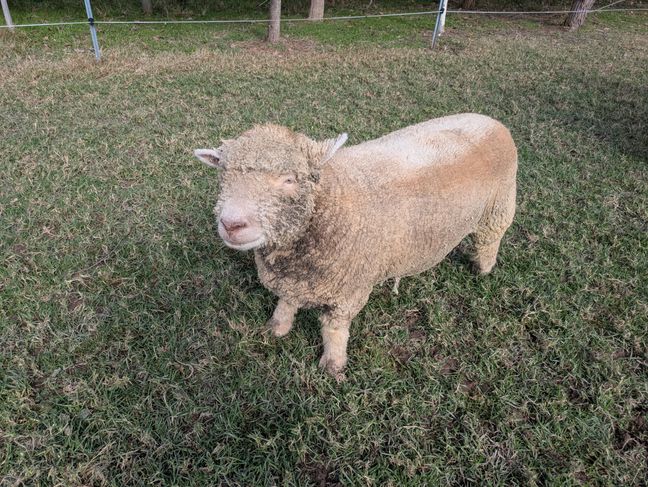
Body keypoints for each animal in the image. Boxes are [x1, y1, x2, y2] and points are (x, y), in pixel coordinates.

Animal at [195, 113, 517, 379]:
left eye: (289, 180)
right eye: (223, 174)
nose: (231, 223)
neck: (330, 200)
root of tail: (490, 120)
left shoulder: (348, 292)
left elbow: (334, 330)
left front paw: (333, 366)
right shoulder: (294, 279)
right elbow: (286, 303)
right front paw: (277, 328)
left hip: (499, 208)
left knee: (490, 241)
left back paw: (482, 269)